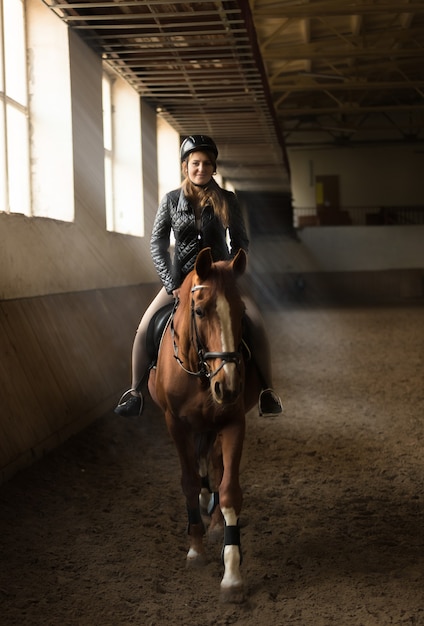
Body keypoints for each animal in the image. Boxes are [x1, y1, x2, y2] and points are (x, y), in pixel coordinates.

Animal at [149, 245, 262, 600]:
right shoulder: (175, 424)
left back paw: (213, 520)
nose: (228, 386)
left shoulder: (233, 422)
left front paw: (232, 575)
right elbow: (187, 481)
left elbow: (228, 491)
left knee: (213, 462)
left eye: (241, 312)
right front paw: (195, 549)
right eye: (199, 311)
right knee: (201, 461)